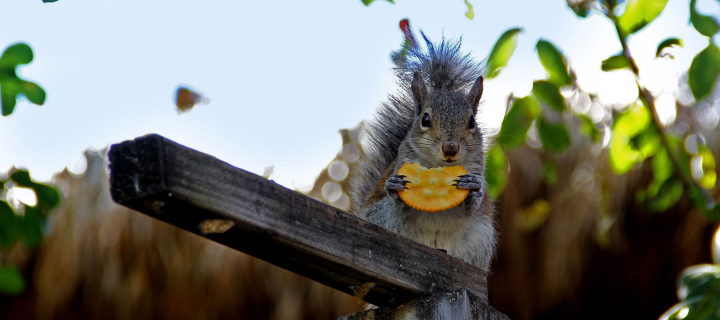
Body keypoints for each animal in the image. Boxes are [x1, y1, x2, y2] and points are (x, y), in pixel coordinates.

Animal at [348, 32, 496, 272]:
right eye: (425, 119)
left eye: (472, 122)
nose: (450, 148)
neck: (439, 165)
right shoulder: (402, 162)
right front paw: (395, 187)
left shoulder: (477, 168)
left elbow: (473, 205)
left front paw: (473, 189)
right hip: (381, 218)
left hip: (480, 242)